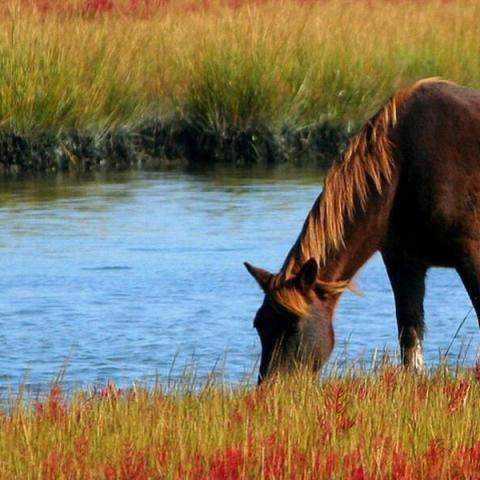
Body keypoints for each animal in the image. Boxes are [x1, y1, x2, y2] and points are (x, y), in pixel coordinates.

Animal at [246, 78, 480, 382]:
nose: (272, 387)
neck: (403, 170)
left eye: (295, 326)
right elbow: (409, 337)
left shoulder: (471, 255)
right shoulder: (404, 262)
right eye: (259, 324)